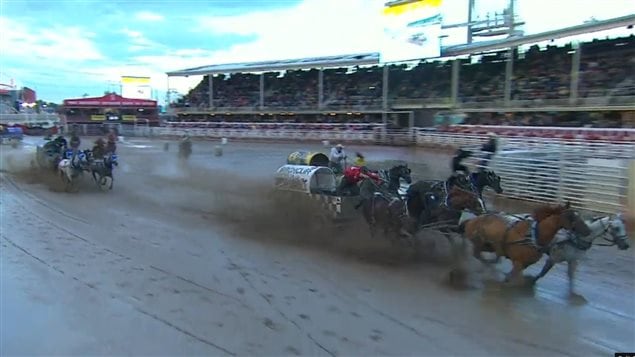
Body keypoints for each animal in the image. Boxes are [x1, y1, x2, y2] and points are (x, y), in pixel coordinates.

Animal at [460, 207, 592, 286]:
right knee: (477, 255)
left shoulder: (525, 264)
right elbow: (515, 278)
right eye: (571, 217)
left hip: (488, 246)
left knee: (482, 255)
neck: (533, 236)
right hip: (480, 243)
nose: (588, 230)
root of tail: (471, 221)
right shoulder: (518, 263)